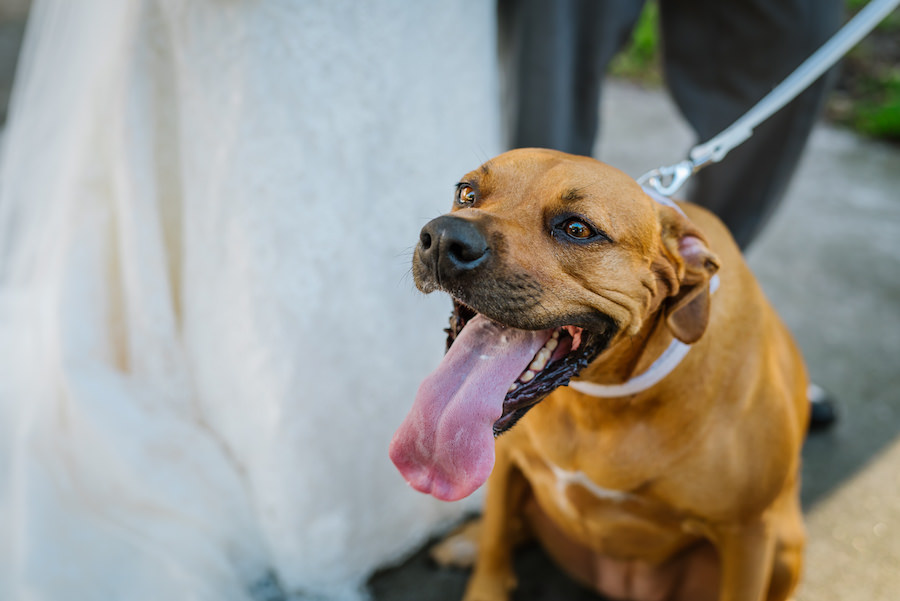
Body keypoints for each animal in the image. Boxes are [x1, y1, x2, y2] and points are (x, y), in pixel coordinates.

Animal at [390, 149, 812, 600]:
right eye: (467, 194)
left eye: (578, 229)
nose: (443, 237)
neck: (598, 402)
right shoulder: (504, 463)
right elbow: (494, 547)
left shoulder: (747, 534)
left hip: (783, 549)